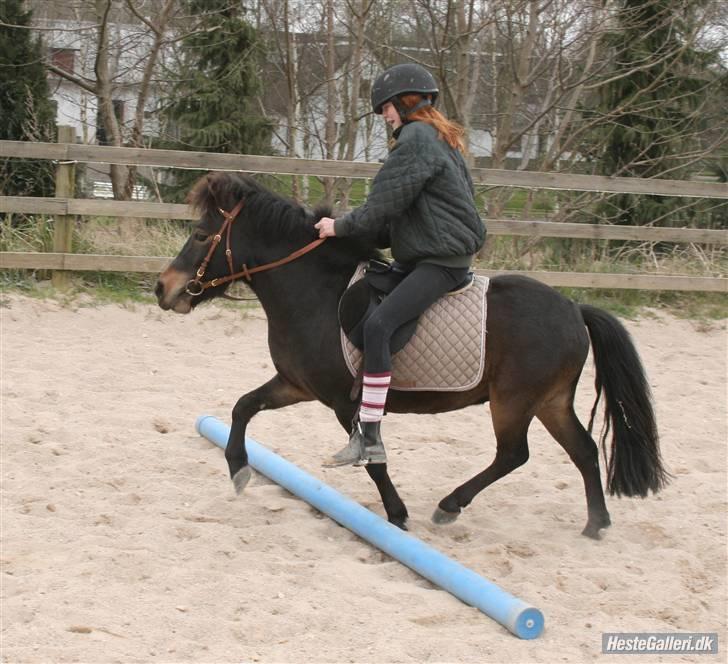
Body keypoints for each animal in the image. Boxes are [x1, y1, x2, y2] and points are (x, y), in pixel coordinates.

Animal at [156, 171, 668, 540]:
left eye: (200, 235)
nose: (163, 288)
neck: (315, 292)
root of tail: (573, 308)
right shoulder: (298, 385)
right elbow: (243, 407)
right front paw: (239, 469)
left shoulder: (344, 401)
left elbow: (374, 457)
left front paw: (398, 515)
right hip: (550, 401)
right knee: (582, 450)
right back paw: (596, 524)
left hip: (515, 401)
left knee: (513, 454)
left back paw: (449, 506)